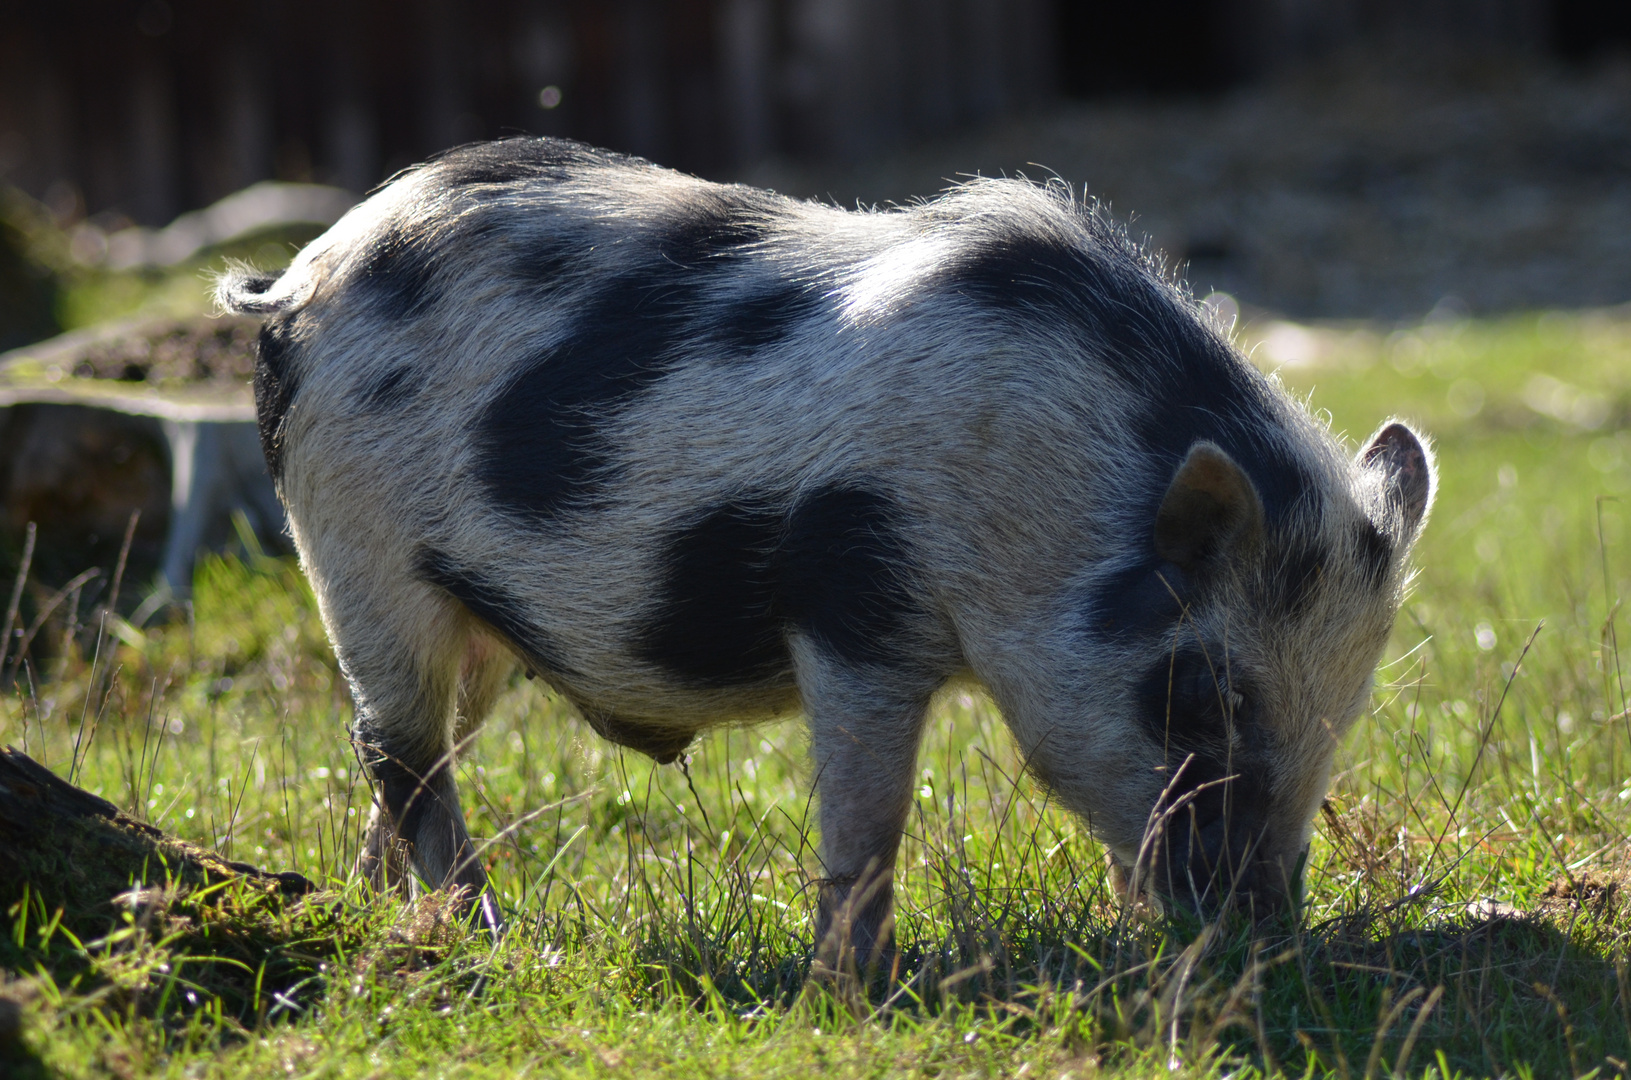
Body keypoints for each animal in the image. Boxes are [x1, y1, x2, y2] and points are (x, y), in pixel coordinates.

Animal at [213, 132, 1428, 965]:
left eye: (1344, 711)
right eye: (1196, 695)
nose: (1263, 934)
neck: (1042, 493)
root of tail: (301, 275)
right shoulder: (853, 591)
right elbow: (870, 812)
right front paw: (852, 989)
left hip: (461, 615)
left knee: (413, 755)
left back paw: (379, 921)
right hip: (354, 552)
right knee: (397, 751)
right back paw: (494, 940)